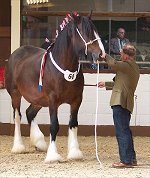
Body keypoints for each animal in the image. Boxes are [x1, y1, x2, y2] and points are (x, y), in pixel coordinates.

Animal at [4, 12, 105, 163]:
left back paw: (39, 143)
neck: (64, 69)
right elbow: (54, 125)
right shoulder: (53, 101)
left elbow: (73, 123)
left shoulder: (76, 100)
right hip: (16, 94)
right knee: (17, 116)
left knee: (29, 113)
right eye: (85, 32)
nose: (101, 54)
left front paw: (74, 153)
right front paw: (52, 155)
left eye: (96, 30)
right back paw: (18, 147)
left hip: (38, 100)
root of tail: (16, 53)